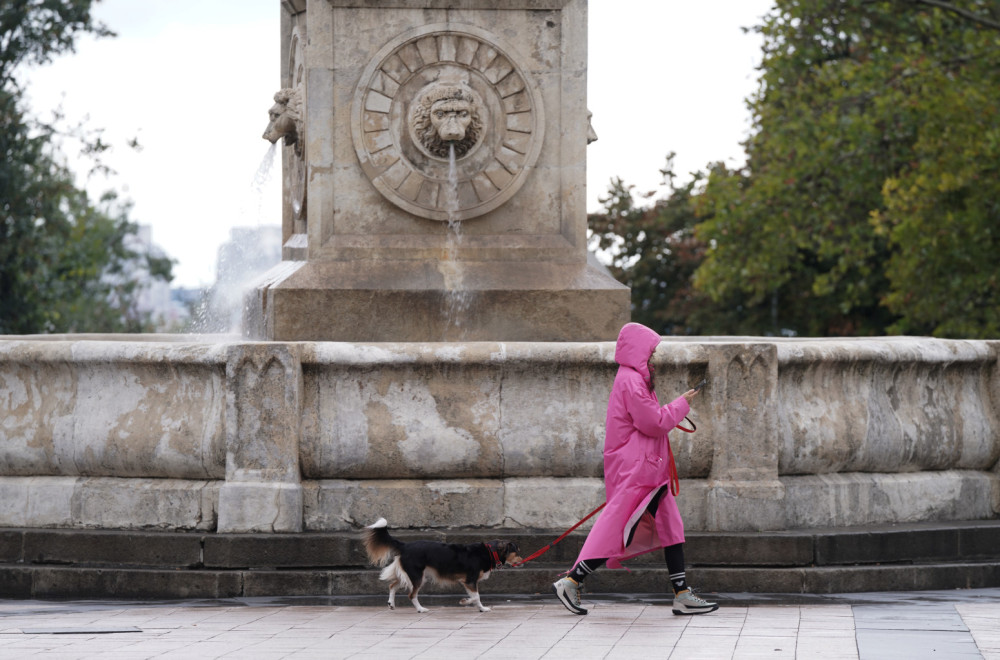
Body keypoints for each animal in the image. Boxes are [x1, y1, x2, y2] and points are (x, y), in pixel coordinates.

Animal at [366, 516, 524, 612]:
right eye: (517, 551)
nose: (522, 561)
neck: (490, 552)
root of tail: (405, 545)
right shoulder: (470, 580)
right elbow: (476, 596)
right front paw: (465, 602)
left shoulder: (469, 582)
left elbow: (476, 597)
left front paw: (481, 608)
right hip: (417, 576)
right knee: (411, 595)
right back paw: (420, 609)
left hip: (412, 574)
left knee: (392, 585)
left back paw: (391, 604)